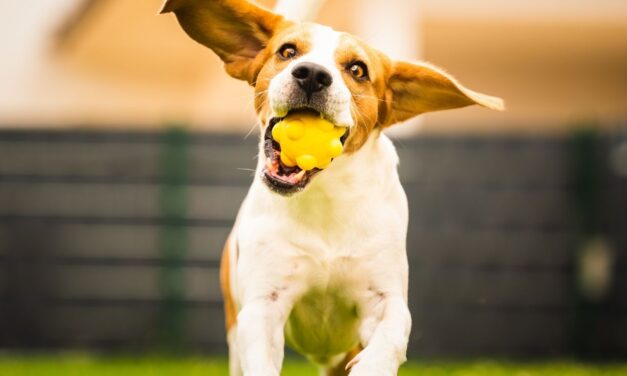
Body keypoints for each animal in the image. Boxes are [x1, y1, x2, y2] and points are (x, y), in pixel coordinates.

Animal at [159, 1, 502, 374]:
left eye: (357, 69)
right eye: (288, 51)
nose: (311, 73)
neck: (326, 198)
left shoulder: (385, 300)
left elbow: (389, 339)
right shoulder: (264, 305)